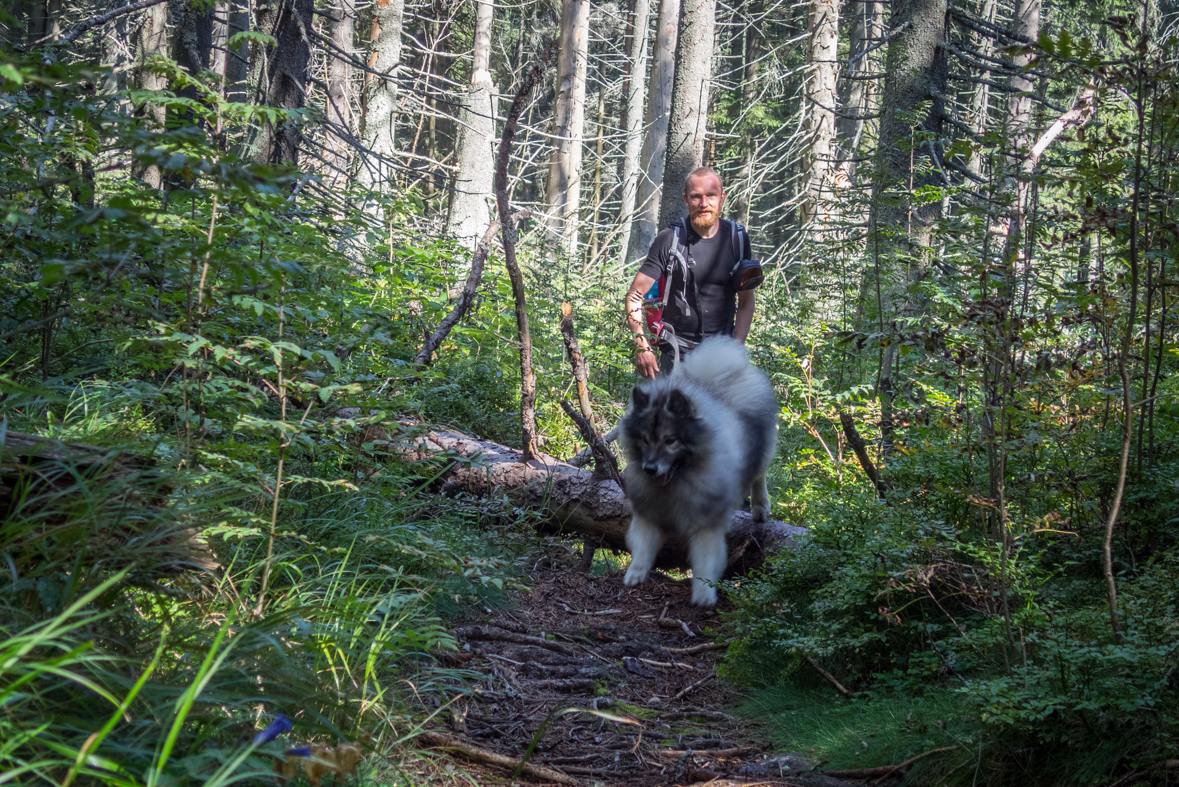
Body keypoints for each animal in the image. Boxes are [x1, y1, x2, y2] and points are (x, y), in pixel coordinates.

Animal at [617, 334, 773, 607]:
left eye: (670, 441)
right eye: (645, 440)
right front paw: (636, 573)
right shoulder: (649, 512)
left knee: (758, 475)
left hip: (760, 449)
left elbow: (705, 560)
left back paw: (760, 507)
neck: (678, 481)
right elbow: (643, 546)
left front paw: (703, 594)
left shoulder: (707, 522)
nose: (650, 468)